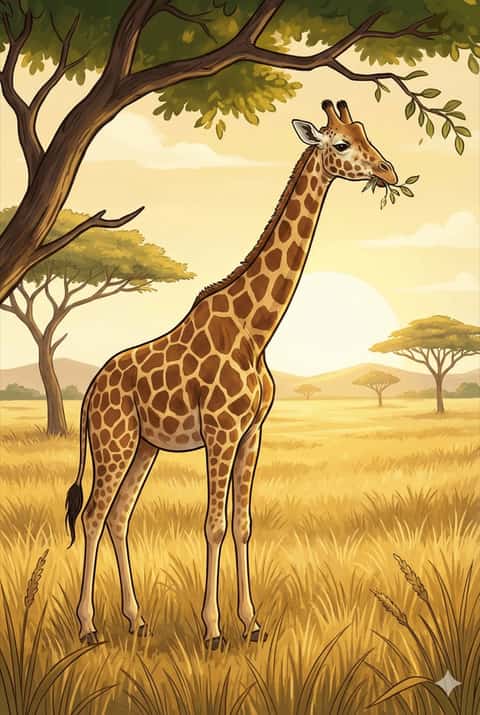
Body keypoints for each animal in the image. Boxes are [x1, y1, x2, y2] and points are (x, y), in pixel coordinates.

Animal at [66, 99, 397, 648]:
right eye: (341, 143)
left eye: (366, 133)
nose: (388, 171)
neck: (255, 332)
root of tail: (91, 391)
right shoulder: (221, 430)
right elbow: (214, 525)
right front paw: (214, 629)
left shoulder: (252, 432)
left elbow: (242, 523)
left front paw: (252, 624)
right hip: (114, 441)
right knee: (93, 515)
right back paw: (89, 627)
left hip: (144, 446)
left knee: (118, 516)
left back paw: (135, 619)